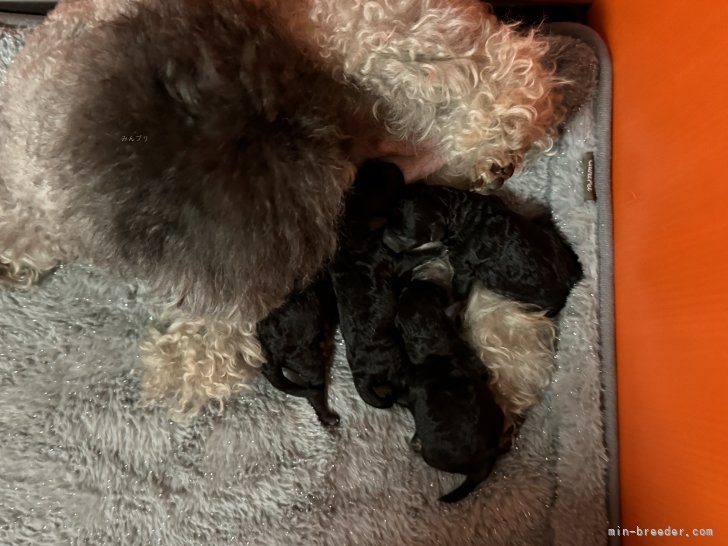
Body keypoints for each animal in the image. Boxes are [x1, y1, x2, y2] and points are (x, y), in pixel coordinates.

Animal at [394, 258, 506, 503]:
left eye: (404, 292)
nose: (415, 279)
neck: (434, 343)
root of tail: (483, 466)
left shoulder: (410, 388)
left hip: (431, 455)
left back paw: (415, 443)